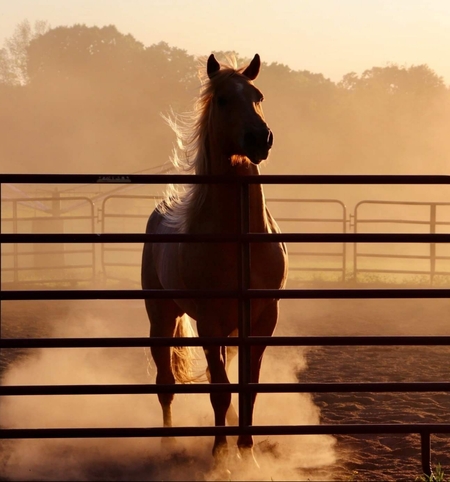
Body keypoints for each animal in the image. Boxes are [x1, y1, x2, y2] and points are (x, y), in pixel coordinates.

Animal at [142, 53, 288, 470]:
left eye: (257, 96)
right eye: (222, 100)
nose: (260, 139)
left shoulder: (261, 321)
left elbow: (247, 389)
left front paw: (248, 454)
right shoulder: (208, 321)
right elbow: (219, 391)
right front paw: (221, 454)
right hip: (162, 316)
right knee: (166, 384)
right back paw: (168, 443)